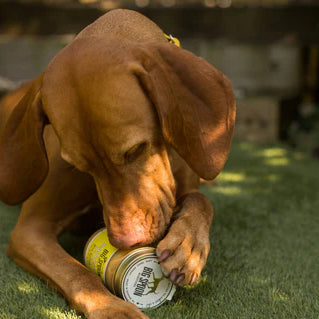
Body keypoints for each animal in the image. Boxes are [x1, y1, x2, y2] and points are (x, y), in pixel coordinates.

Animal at [0, 8, 235, 319]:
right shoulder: (30, 230)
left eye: (136, 149)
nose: (125, 242)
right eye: (80, 166)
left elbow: (200, 200)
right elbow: (76, 272)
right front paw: (112, 308)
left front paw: (188, 245)